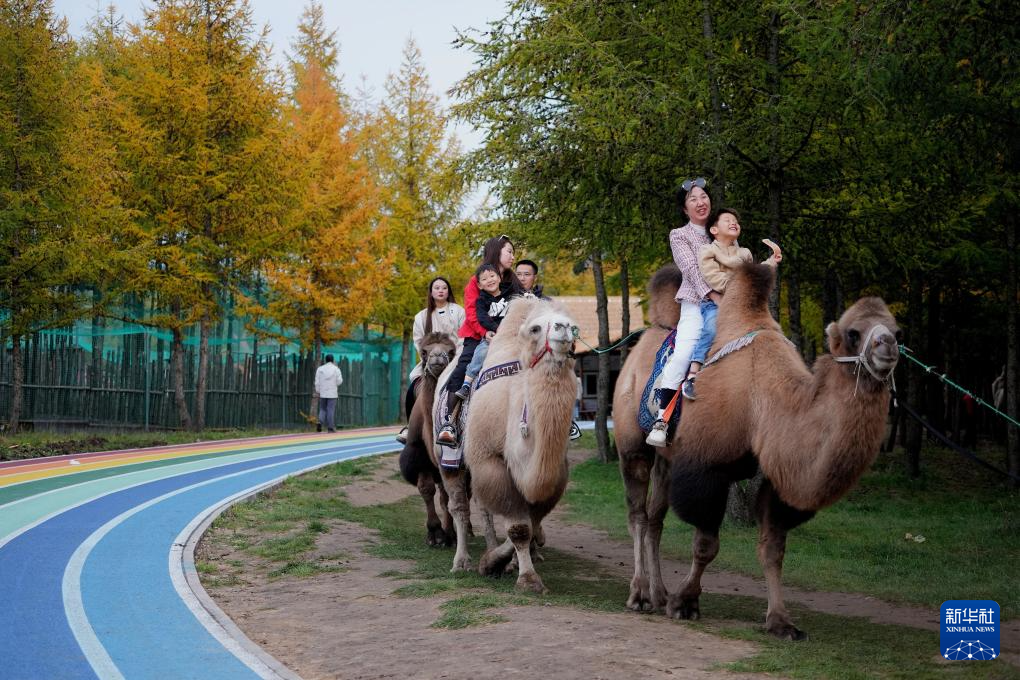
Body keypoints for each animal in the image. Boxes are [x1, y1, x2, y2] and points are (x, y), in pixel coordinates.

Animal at [397, 330, 459, 546]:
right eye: (424, 352)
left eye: (452, 351)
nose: (437, 357)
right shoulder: (418, 454)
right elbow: (426, 488)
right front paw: (435, 533)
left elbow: (447, 496)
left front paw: (450, 534)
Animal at [459, 295, 579, 591]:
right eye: (536, 329)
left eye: (575, 327)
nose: (563, 328)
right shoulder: (490, 460)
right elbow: (519, 527)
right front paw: (519, 575)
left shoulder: (555, 471)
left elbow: (531, 523)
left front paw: (509, 563)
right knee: (480, 507)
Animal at [665, 260, 897, 640]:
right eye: (854, 333)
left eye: (898, 330)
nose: (888, 345)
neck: (763, 402)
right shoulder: (705, 464)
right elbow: (706, 544)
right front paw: (683, 603)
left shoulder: (779, 478)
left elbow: (773, 550)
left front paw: (781, 622)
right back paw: (645, 595)